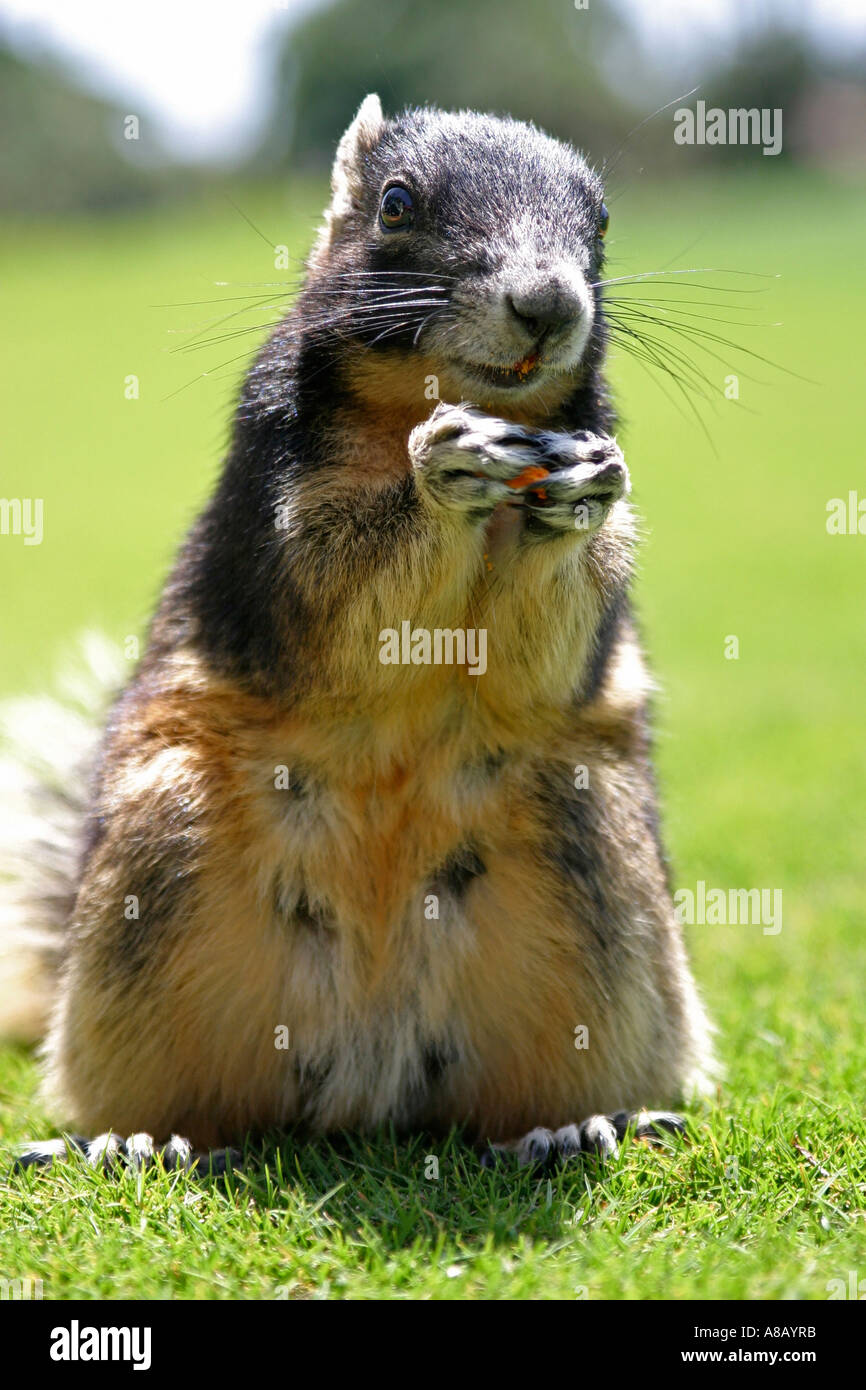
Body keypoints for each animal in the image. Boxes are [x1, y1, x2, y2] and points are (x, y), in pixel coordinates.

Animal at [1, 95, 715, 1173]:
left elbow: (549, 646)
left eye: (599, 222)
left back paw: (573, 1123)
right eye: (396, 204)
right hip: (156, 863)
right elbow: (347, 591)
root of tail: (368, 1081)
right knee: (175, 1098)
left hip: (598, 877)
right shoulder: (280, 514)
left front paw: (578, 494)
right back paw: (141, 1139)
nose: (547, 302)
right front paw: (441, 472)